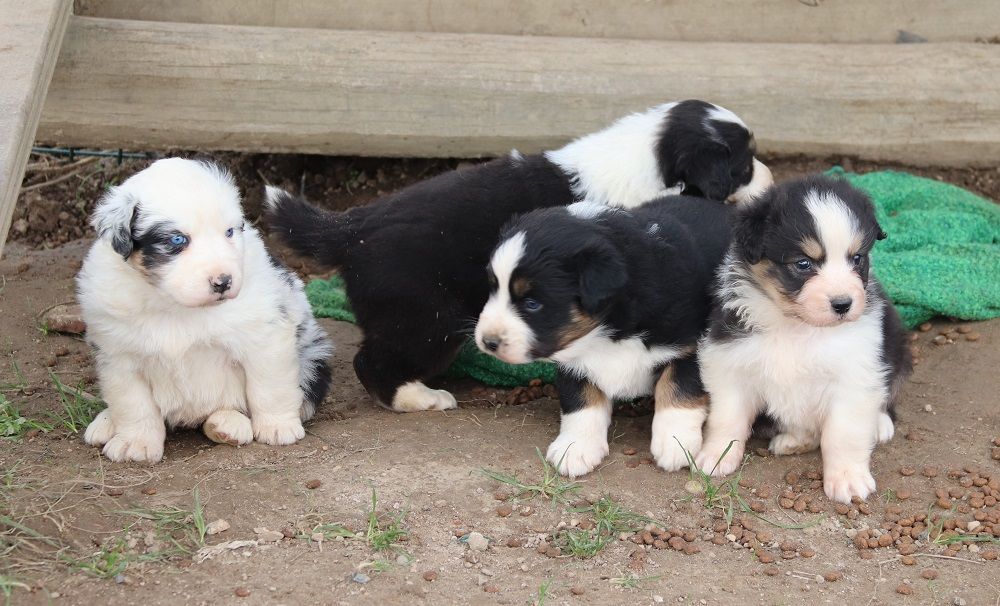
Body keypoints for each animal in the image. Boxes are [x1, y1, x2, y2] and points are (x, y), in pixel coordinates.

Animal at [78, 158, 332, 463]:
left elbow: (268, 386)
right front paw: (135, 443)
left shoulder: (264, 336)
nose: (223, 282)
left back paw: (228, 425)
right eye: (177, 240)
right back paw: (105, 423)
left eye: (229, 232)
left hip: (313, 353)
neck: (174, 305)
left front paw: (277, 426)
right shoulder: (118, 355)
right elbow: (133, 404)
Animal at [266, 100, 772, 414]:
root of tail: (353, 229)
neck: (650, 158)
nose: (769, 182)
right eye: (743, 166)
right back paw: (419, 397)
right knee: (372, 361)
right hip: (424, 319)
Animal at [474, 196, 731, 476]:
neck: (607, 331)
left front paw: (676, 442)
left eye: (532, 304)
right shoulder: (572, 359)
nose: (488, 342)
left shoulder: (689, 347)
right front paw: (575, 447)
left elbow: (678, 389)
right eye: (493, 288)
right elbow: (580, 400)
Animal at [695, 175, 911, 502]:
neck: (796, 327)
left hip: (895, 346)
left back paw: (879, 424)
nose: (843, 304)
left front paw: (847, 478)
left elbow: (843, 434)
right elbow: (727, 417)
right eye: (803, 264)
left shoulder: (855, 373)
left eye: (857, 258)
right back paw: (794, 440)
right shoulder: (729, 360)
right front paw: (717, 455)